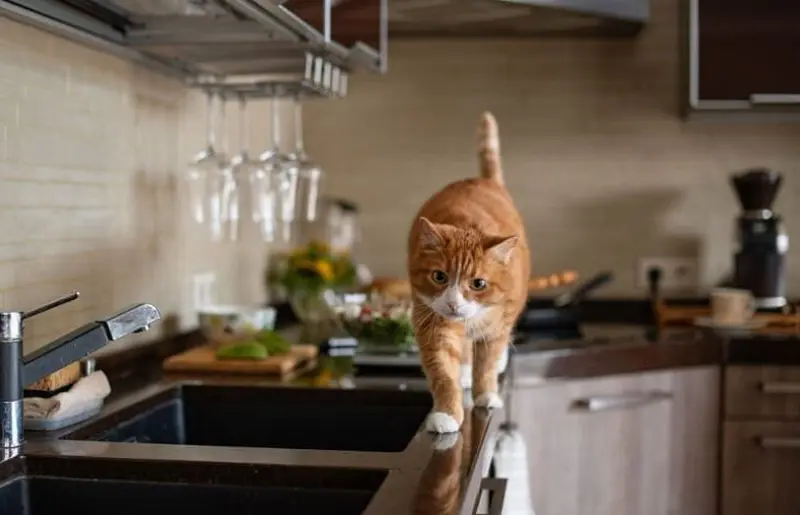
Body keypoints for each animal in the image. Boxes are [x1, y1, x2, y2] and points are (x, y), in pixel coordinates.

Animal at [406, 111, 532, 434]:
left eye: (478, 283)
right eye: (439, 277)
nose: (453, 303)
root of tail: (482, 179)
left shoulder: (497, 327)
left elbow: (486, 365)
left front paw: (486, 394)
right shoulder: (433, 323)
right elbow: (444, 373)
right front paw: (447, 412)